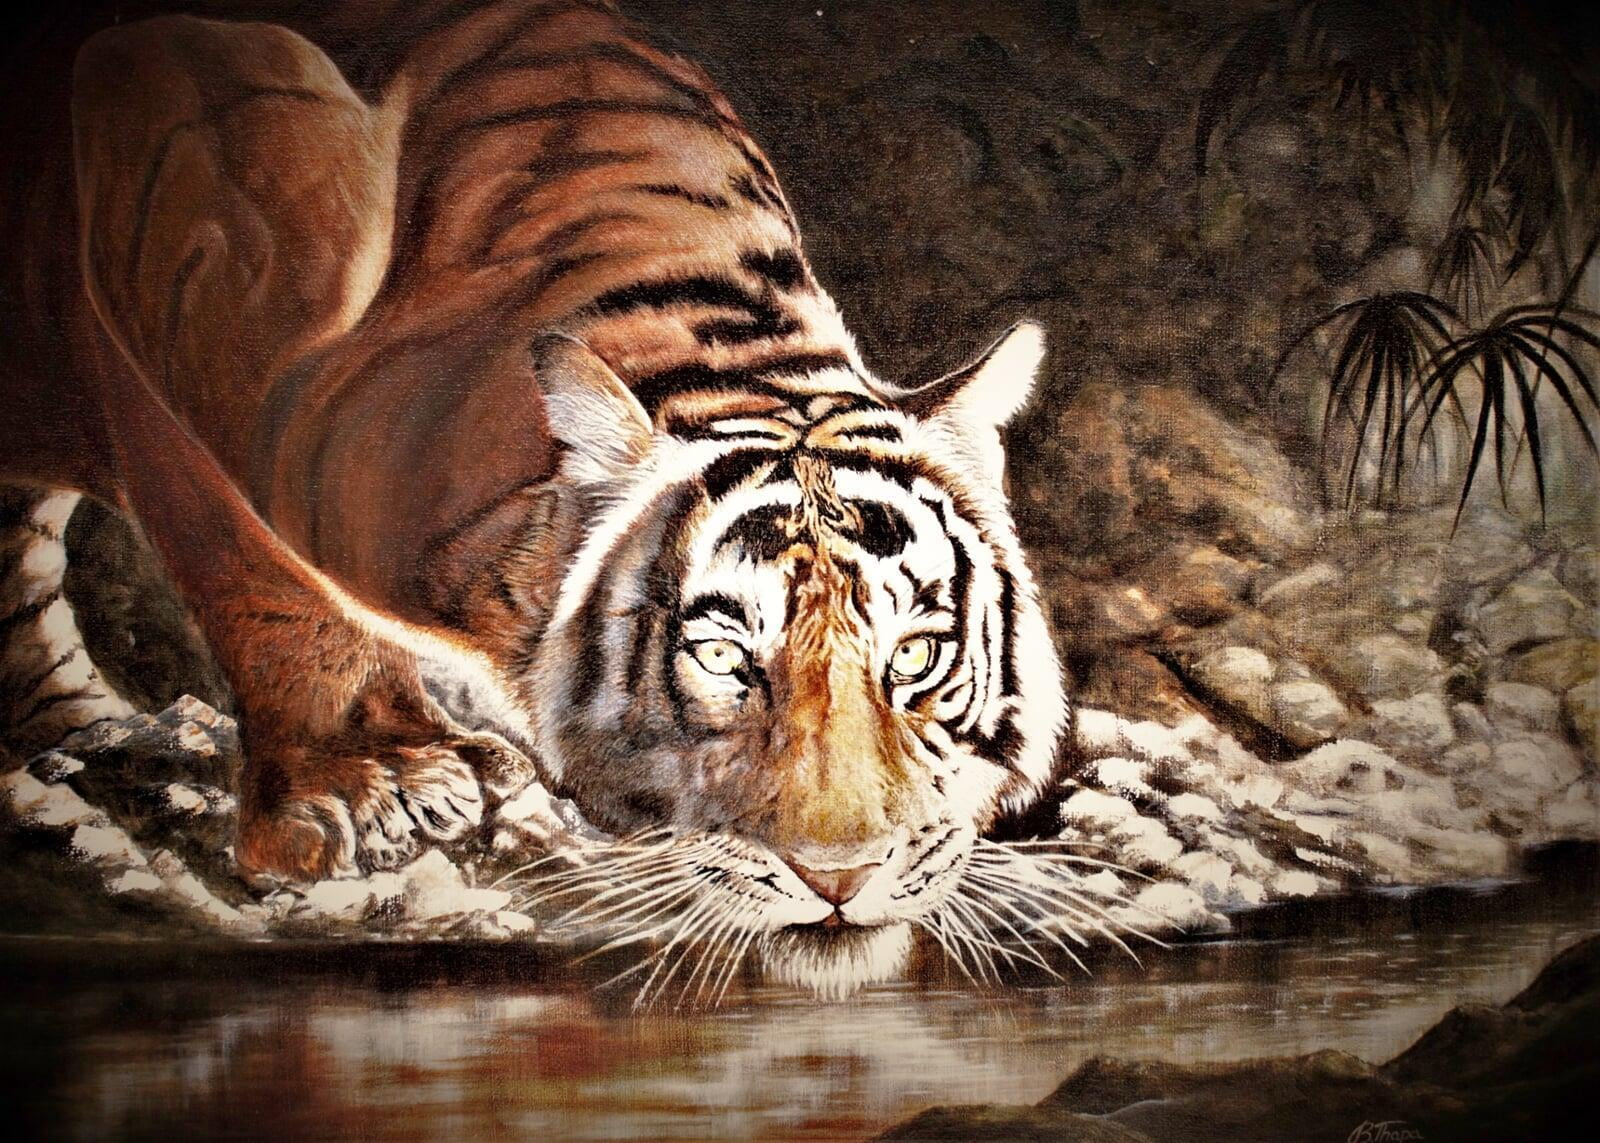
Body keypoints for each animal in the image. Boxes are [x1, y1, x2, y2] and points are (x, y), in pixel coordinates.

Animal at [0, 0, 1089, 995]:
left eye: (915, 656)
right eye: (723, 659)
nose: (841, 876)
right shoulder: (165, 154)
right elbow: (256, 574)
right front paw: (372, 784)